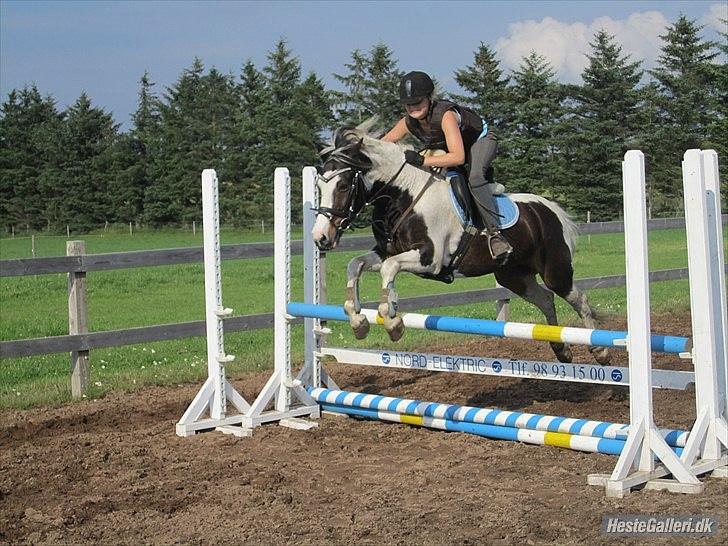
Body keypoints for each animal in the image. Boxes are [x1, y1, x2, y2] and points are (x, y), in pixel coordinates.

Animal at [312, 127, 610, 365]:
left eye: (343, 185)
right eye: (319, 186)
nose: (320, 237)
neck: (404, 196)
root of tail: (550, 209)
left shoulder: (429, 259)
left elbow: (389, 269)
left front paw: (393, 321)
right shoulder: (385, 252)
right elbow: (356, 264)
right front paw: (358, 322)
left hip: (555, 272)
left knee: (579, 299)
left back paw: (601, 352)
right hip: (514, 276)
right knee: (546, 299)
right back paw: (562, 351)